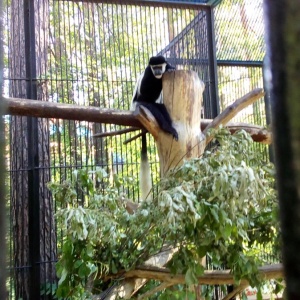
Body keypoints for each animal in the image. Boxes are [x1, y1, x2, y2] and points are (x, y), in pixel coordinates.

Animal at [131, 55, 178, 202]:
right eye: (154, 67)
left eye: (159, 67)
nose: (158, 72)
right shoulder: (148, 73)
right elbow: (145, 89)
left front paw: (170, 69)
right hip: (141, 104)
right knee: (153, 107)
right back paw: (167, 127)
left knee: (162, 108)